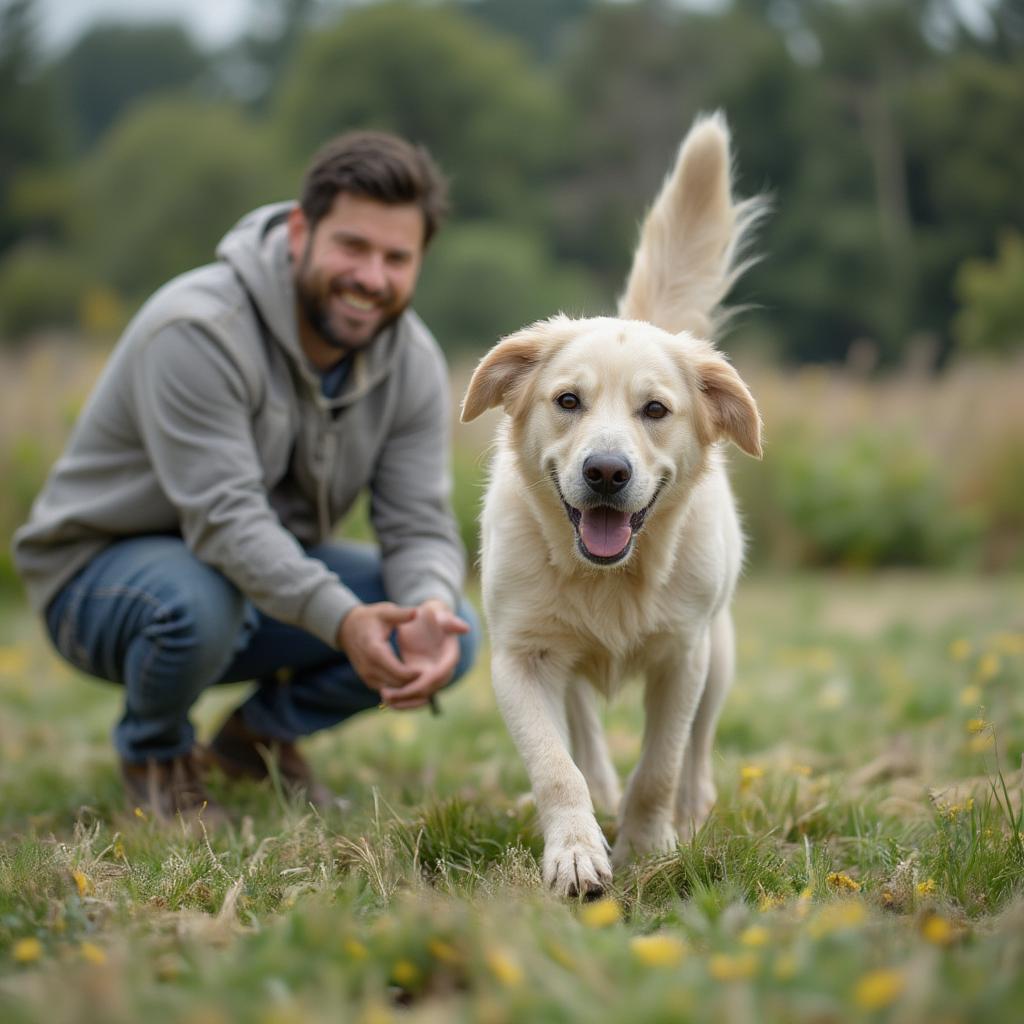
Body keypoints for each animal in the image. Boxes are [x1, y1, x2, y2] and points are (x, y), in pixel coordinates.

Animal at [460, 114, 765, 897]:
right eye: (568, 400)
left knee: (697, 747)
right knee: (583, 733)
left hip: (722, 651)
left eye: (654, 410)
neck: (610, 577)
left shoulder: (683, 656)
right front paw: (576, 851)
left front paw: (648, 847)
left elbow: (658, 765)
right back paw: (600, 792)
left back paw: (690, 807)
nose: (604, 471)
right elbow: (553, 767)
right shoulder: (520, 657)